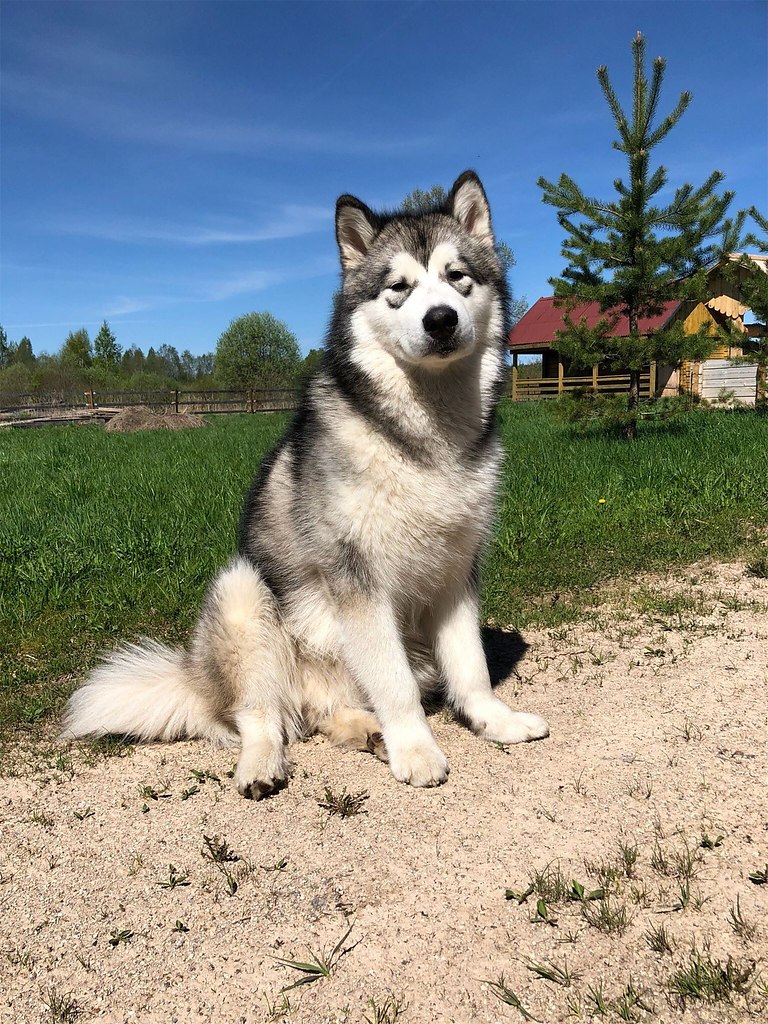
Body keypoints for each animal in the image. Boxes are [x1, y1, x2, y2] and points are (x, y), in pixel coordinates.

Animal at [63, 167, 548, 794]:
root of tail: (195, 680)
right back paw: (265, 763)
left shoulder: (457, 566)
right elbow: (394, 684)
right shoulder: (357, 578)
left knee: (322, 713)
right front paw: (416, 748)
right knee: (262, 716)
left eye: (456, 276)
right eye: (398, 287)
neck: (423, 435)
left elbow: (471, 667)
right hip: (244, 595)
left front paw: (492, 720)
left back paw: (363, 729)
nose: (440, 318)